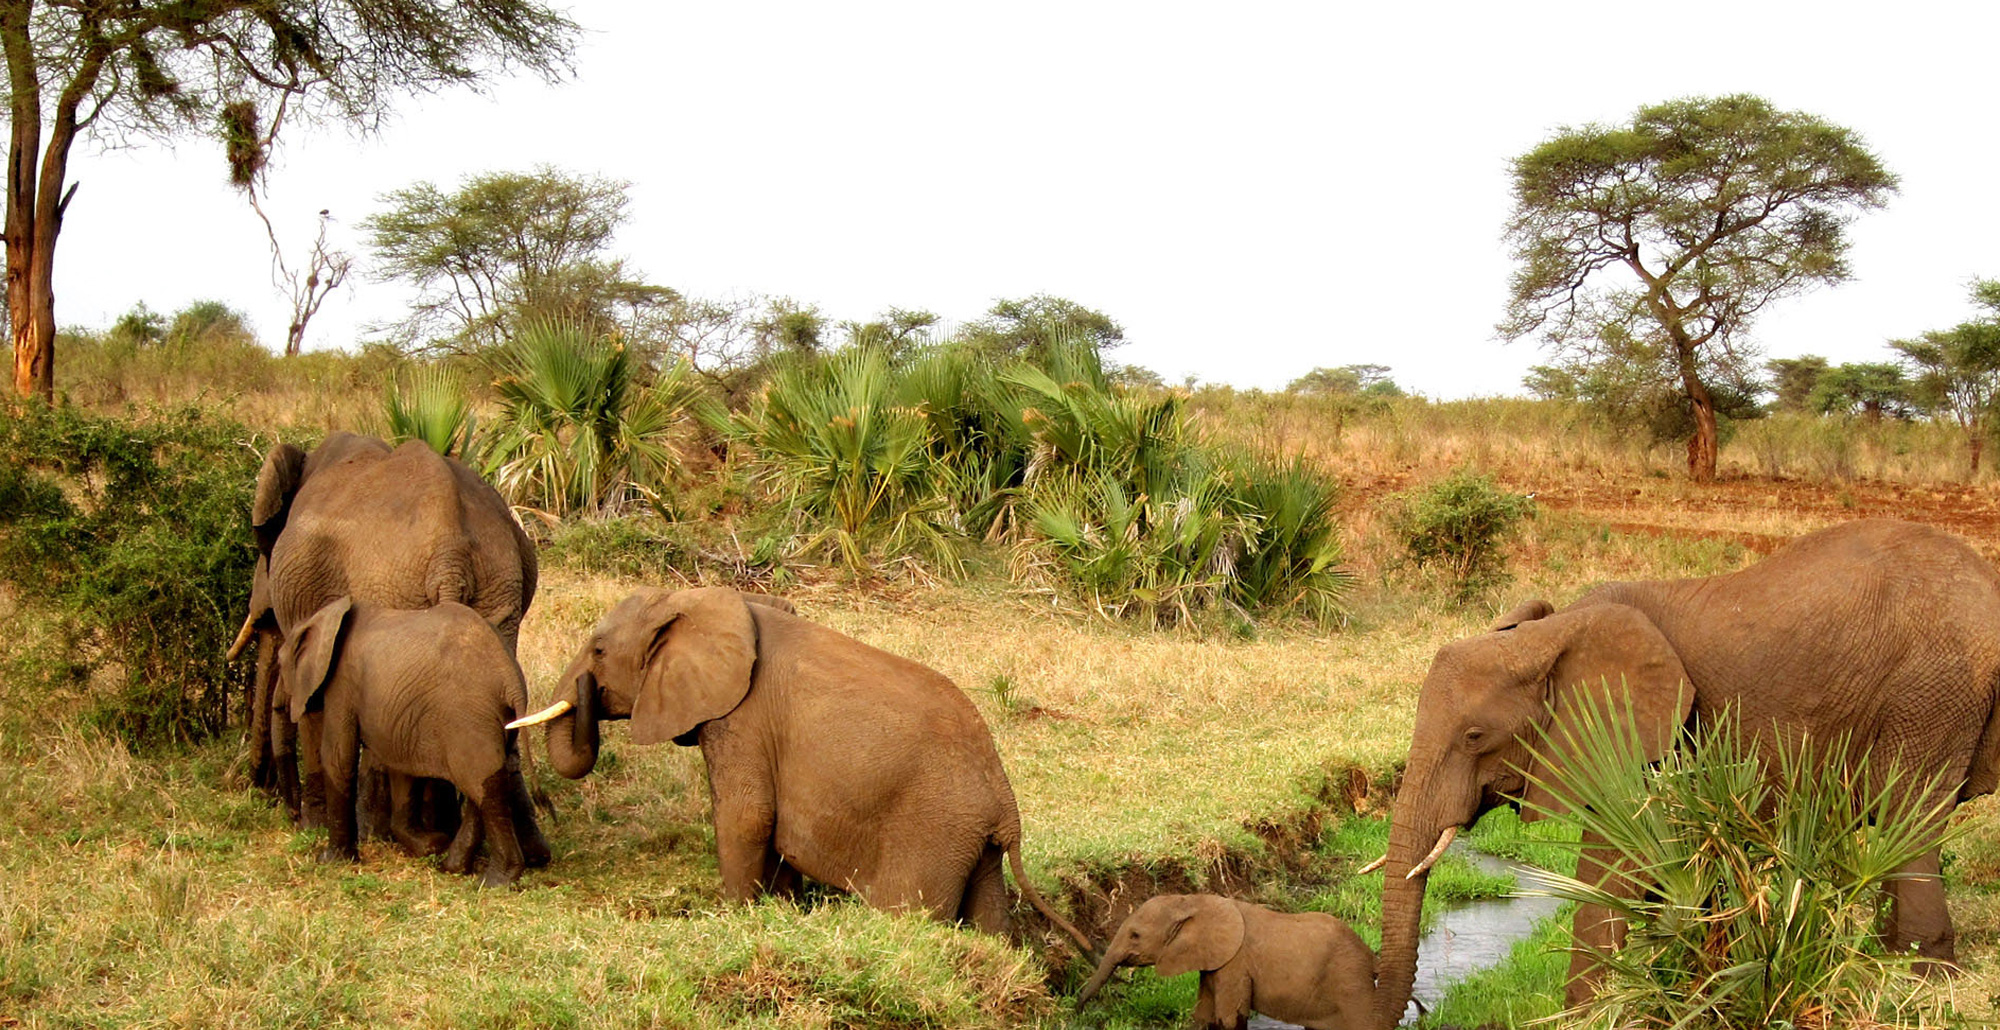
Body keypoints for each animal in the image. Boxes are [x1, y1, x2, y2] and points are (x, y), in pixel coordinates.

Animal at [229, 430, 540, 840]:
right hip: (498, 589)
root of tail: (450, 553)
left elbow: (314, 703)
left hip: (392, 588)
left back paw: (387, 832)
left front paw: (315, 826)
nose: (273, 799)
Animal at [278, 596, 552, 888]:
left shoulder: (343, 682)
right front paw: (430, 845)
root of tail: (511, 679)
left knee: (485, 787)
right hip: (494, 722)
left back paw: (495, 881)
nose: (293, 816)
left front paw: (330, 861)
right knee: (486, 783)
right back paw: (453, 866)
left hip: (470, 719)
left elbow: (339, 757)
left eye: (281, 665)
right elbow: (402, 770)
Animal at [500, 584, 1096, 956]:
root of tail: (1006, 807)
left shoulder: (740, 718)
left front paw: (734, 915)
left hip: (932, 832)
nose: (584, 688)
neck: (709, 599)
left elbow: (747, 816)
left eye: (599, 651)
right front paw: (782, 908)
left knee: (909, 914)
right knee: (991, 918)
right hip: (970, 842)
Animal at [1080, 896, 1376, 1030]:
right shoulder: (1213, 963)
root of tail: (1369, 953)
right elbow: (1203, 1016)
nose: (1078, 1009)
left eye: (1135, 935)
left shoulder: (1235, 964)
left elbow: (1229, 1019)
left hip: (1350, 983)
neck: (1193, 901)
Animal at [1368, 524, 2000, 1030]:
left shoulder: (1644, 740)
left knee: (1909, 818)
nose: (1419, 1007)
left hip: (1931, 692)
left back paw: (1920, 976)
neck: (1551, 636)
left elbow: (1616, 869)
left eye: (1474, 737)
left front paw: (1583, 1017)